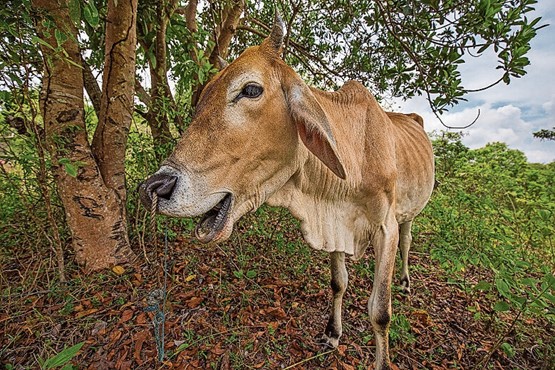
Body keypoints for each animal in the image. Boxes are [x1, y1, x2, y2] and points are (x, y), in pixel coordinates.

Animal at [139, 13, 434, 370]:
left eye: (251, 89)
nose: (156, 187)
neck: (356, 152)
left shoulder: (384, 228)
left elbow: (380, 312)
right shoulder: (336, 224)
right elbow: (338, 282)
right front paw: (332, 333)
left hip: (408, 214)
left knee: (407, 241)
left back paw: (404, 281)